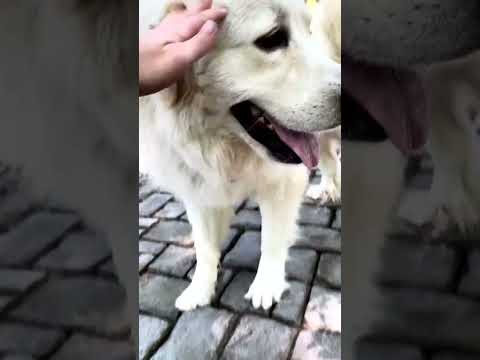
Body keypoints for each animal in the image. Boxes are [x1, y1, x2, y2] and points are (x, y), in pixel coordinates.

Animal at [139, 0, 342, 310]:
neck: (223, 146)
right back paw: (329, 187)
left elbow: (271, 238)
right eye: (272, 38)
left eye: (308, 31)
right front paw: (200, 288)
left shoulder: (282, 179)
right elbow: (204, 244)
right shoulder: (196, 185)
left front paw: (266, 284)